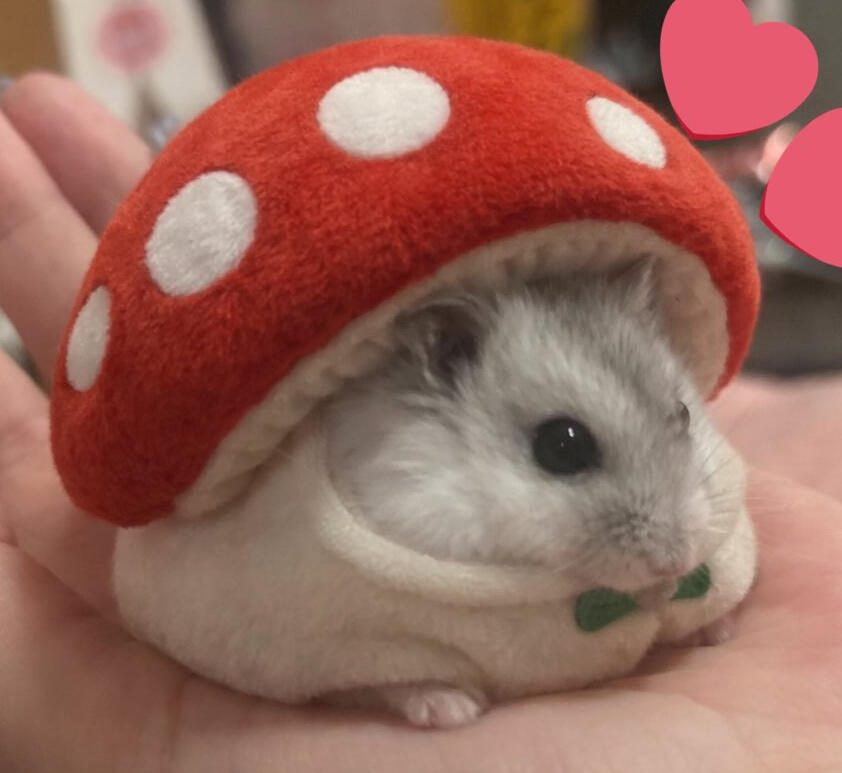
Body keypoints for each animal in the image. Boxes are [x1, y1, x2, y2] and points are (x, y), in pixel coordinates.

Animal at [323, 261, 749, 725]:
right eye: (562, 446)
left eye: (684, 413)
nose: (674, 563)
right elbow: (385, 678)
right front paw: (457, 711)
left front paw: (715, 626)